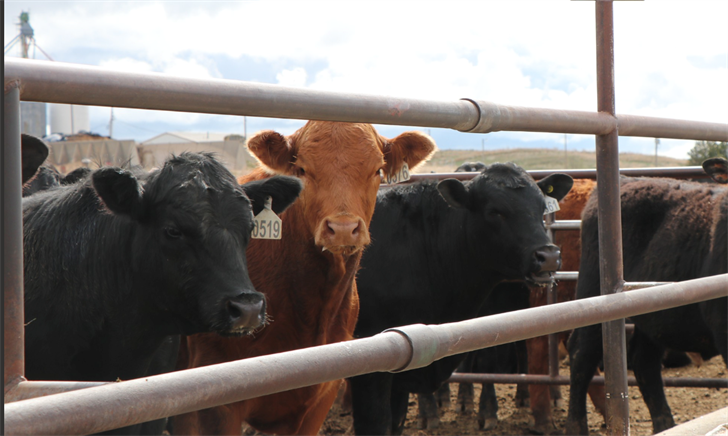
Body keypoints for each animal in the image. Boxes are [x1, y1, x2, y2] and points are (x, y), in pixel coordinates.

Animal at [566, 157, 728, 436]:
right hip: (592, 293)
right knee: (581, 356)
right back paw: (576, 427)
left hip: (652, 316)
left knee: (645, 364)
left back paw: (665, 426)